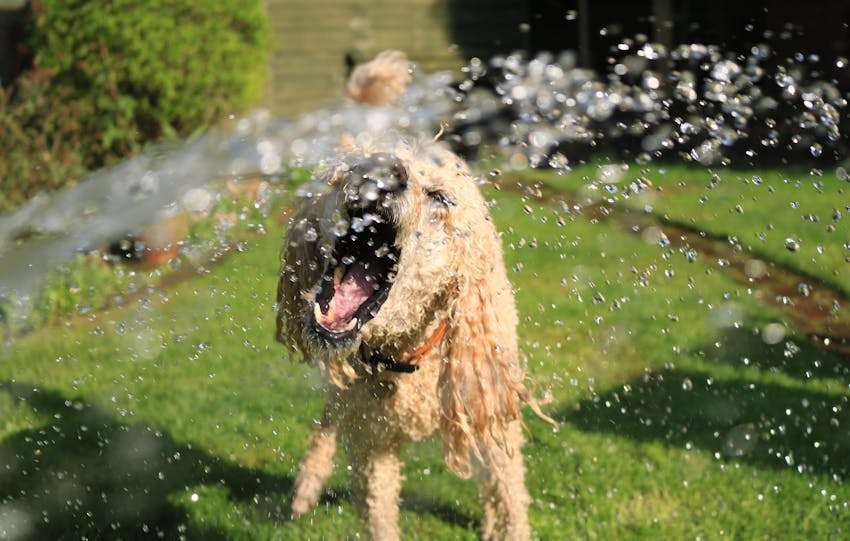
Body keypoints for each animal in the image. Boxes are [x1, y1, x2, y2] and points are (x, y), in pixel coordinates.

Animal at [274, 51, 548, 540]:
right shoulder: (372, 446)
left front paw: (502, 522)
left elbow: (510, 498)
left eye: (440, 197)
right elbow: (378, 513)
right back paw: (308, 484)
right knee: (329, 417)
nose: (381, 170)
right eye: (346, 169)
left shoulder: (491, 414)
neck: (407, 354)